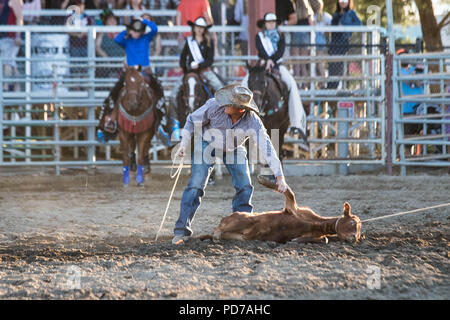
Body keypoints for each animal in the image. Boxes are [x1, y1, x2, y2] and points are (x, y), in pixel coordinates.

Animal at [199, 176, 364, 244]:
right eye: (352, 223)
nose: (354, 238)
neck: (316, 224)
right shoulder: (293, 208)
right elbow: (289, 192)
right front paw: (264, 180)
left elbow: (325, 239)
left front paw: (295, 240)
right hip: (245, 220)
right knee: (217, 229)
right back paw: (216, 235)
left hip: (240, 236)